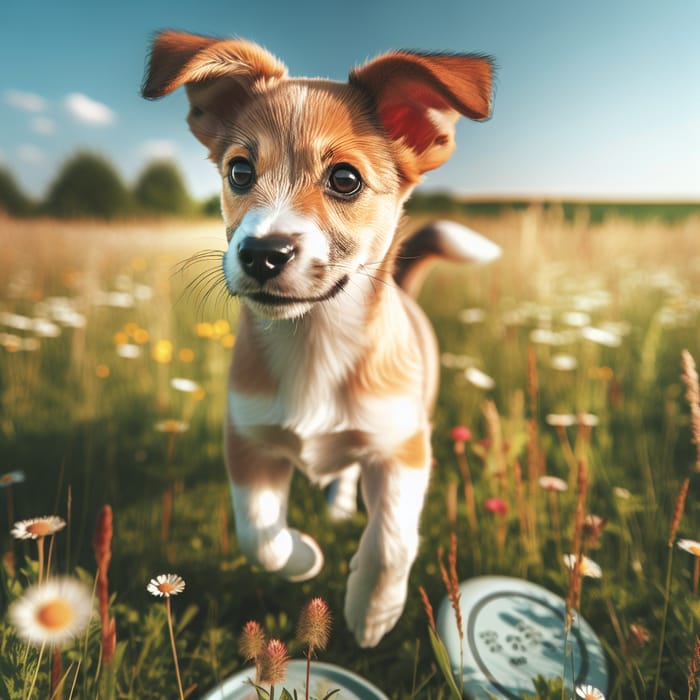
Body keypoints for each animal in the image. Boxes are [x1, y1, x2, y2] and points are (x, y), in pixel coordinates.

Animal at [142, 31, 500, 644]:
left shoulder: (404, 447)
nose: (262, 253)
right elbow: (257, 535)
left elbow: (392, 541)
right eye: (240, 172)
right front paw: (305, 557)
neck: (314, 340)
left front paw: (371, 612)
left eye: (345, 180)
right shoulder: (249, 439)